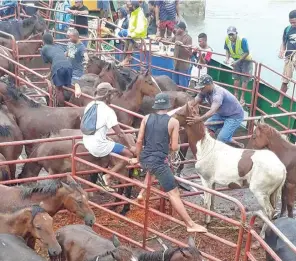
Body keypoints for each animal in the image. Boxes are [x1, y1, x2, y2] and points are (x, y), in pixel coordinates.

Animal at [173, 102, 286, 238]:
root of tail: (282, 168)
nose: (170, 118)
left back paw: (262, 235)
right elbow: (212, 201)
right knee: (272, 212)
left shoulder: (206, 180)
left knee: (269, 212)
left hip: (260, 193)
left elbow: (206, 202)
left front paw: (206, 222)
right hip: (271, 194)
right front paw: (211, 218)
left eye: (179, 112)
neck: (206, 148)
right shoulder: (212, 182)